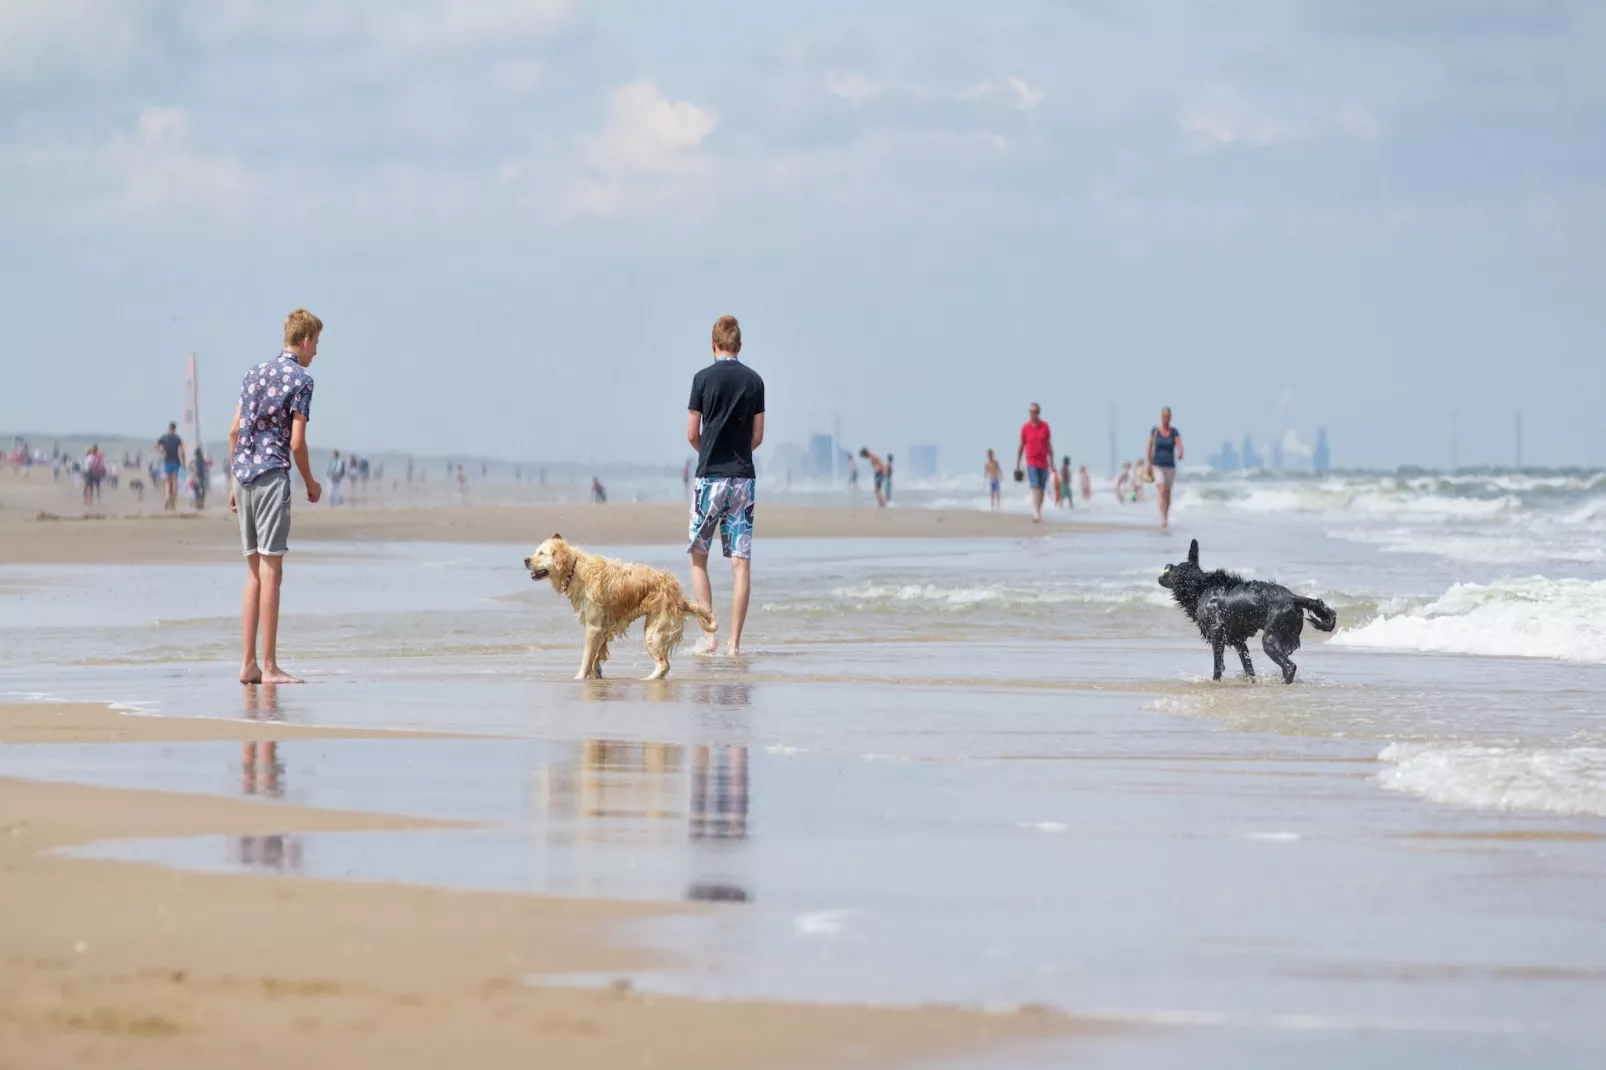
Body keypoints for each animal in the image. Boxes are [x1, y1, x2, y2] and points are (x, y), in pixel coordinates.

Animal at [1162, 536, 1336, 677]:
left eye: (1170, 570)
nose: (1166, 566)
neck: (1201, 587)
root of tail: (1293, 597)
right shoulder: (1237, 638)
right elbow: (1248, 667)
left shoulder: (1217, 632)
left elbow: (1218, 666)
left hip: (1270, 639)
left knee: (1289, 667)